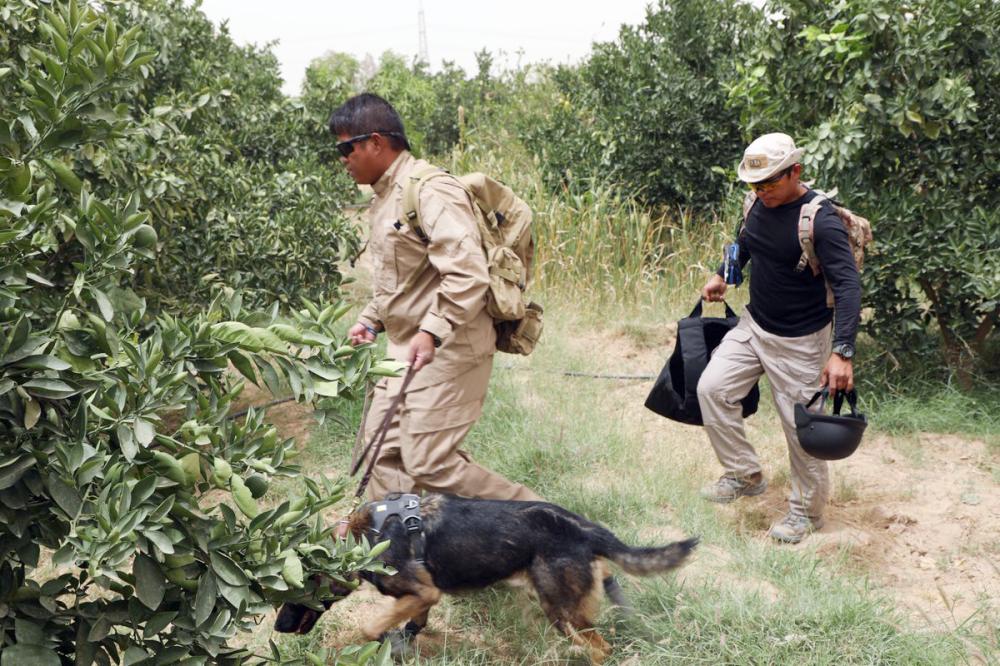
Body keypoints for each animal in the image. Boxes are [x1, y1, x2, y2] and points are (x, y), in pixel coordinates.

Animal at [274, 490, 696, 660]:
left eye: (294, 594)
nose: (277, 627)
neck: (362, 538)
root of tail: (586, 529)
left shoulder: (422, 592)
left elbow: (369, 626)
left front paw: (381, 640)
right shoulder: (422, 597)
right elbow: (410, 625)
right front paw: (400, 645)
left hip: (559, 609)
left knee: (600, 648)